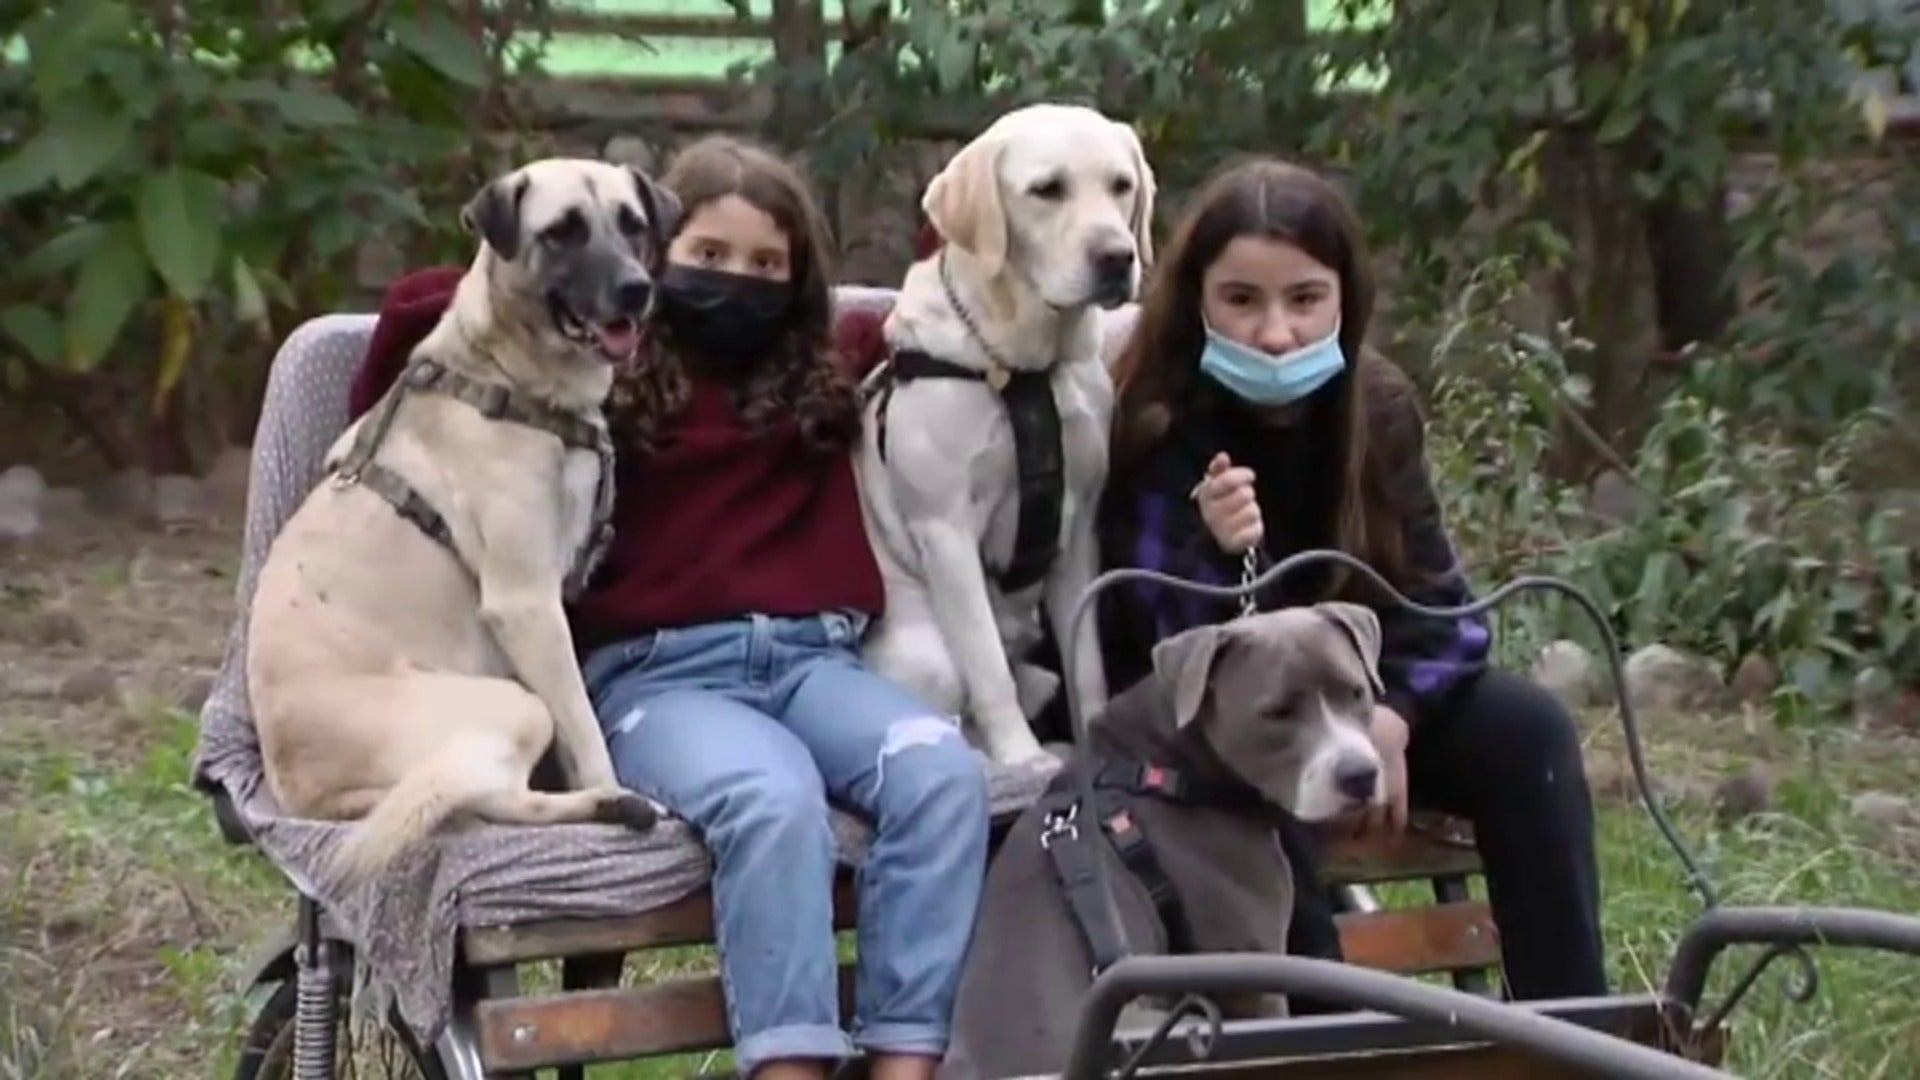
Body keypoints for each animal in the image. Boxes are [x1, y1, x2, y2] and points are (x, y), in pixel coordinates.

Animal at [246, 158, 678, 885]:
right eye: (562, 231)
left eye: (632, 224)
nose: (635, 290)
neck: (505, 373)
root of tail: (319, 799)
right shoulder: (527, 605)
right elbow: (585, 726)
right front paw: (611, 782)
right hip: (511, 704)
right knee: (491, 795)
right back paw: (615, 804)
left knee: (487, 796)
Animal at [855, 102, 1158, 768]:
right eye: (1047, 190)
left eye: (1121, 186)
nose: (1117, 256)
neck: (1025, 369)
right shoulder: (946, 531)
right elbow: (988, 666)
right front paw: (1022, 758)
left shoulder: (1080, 527)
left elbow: (1086, 663)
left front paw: (1092, 740)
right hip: (928, 653)